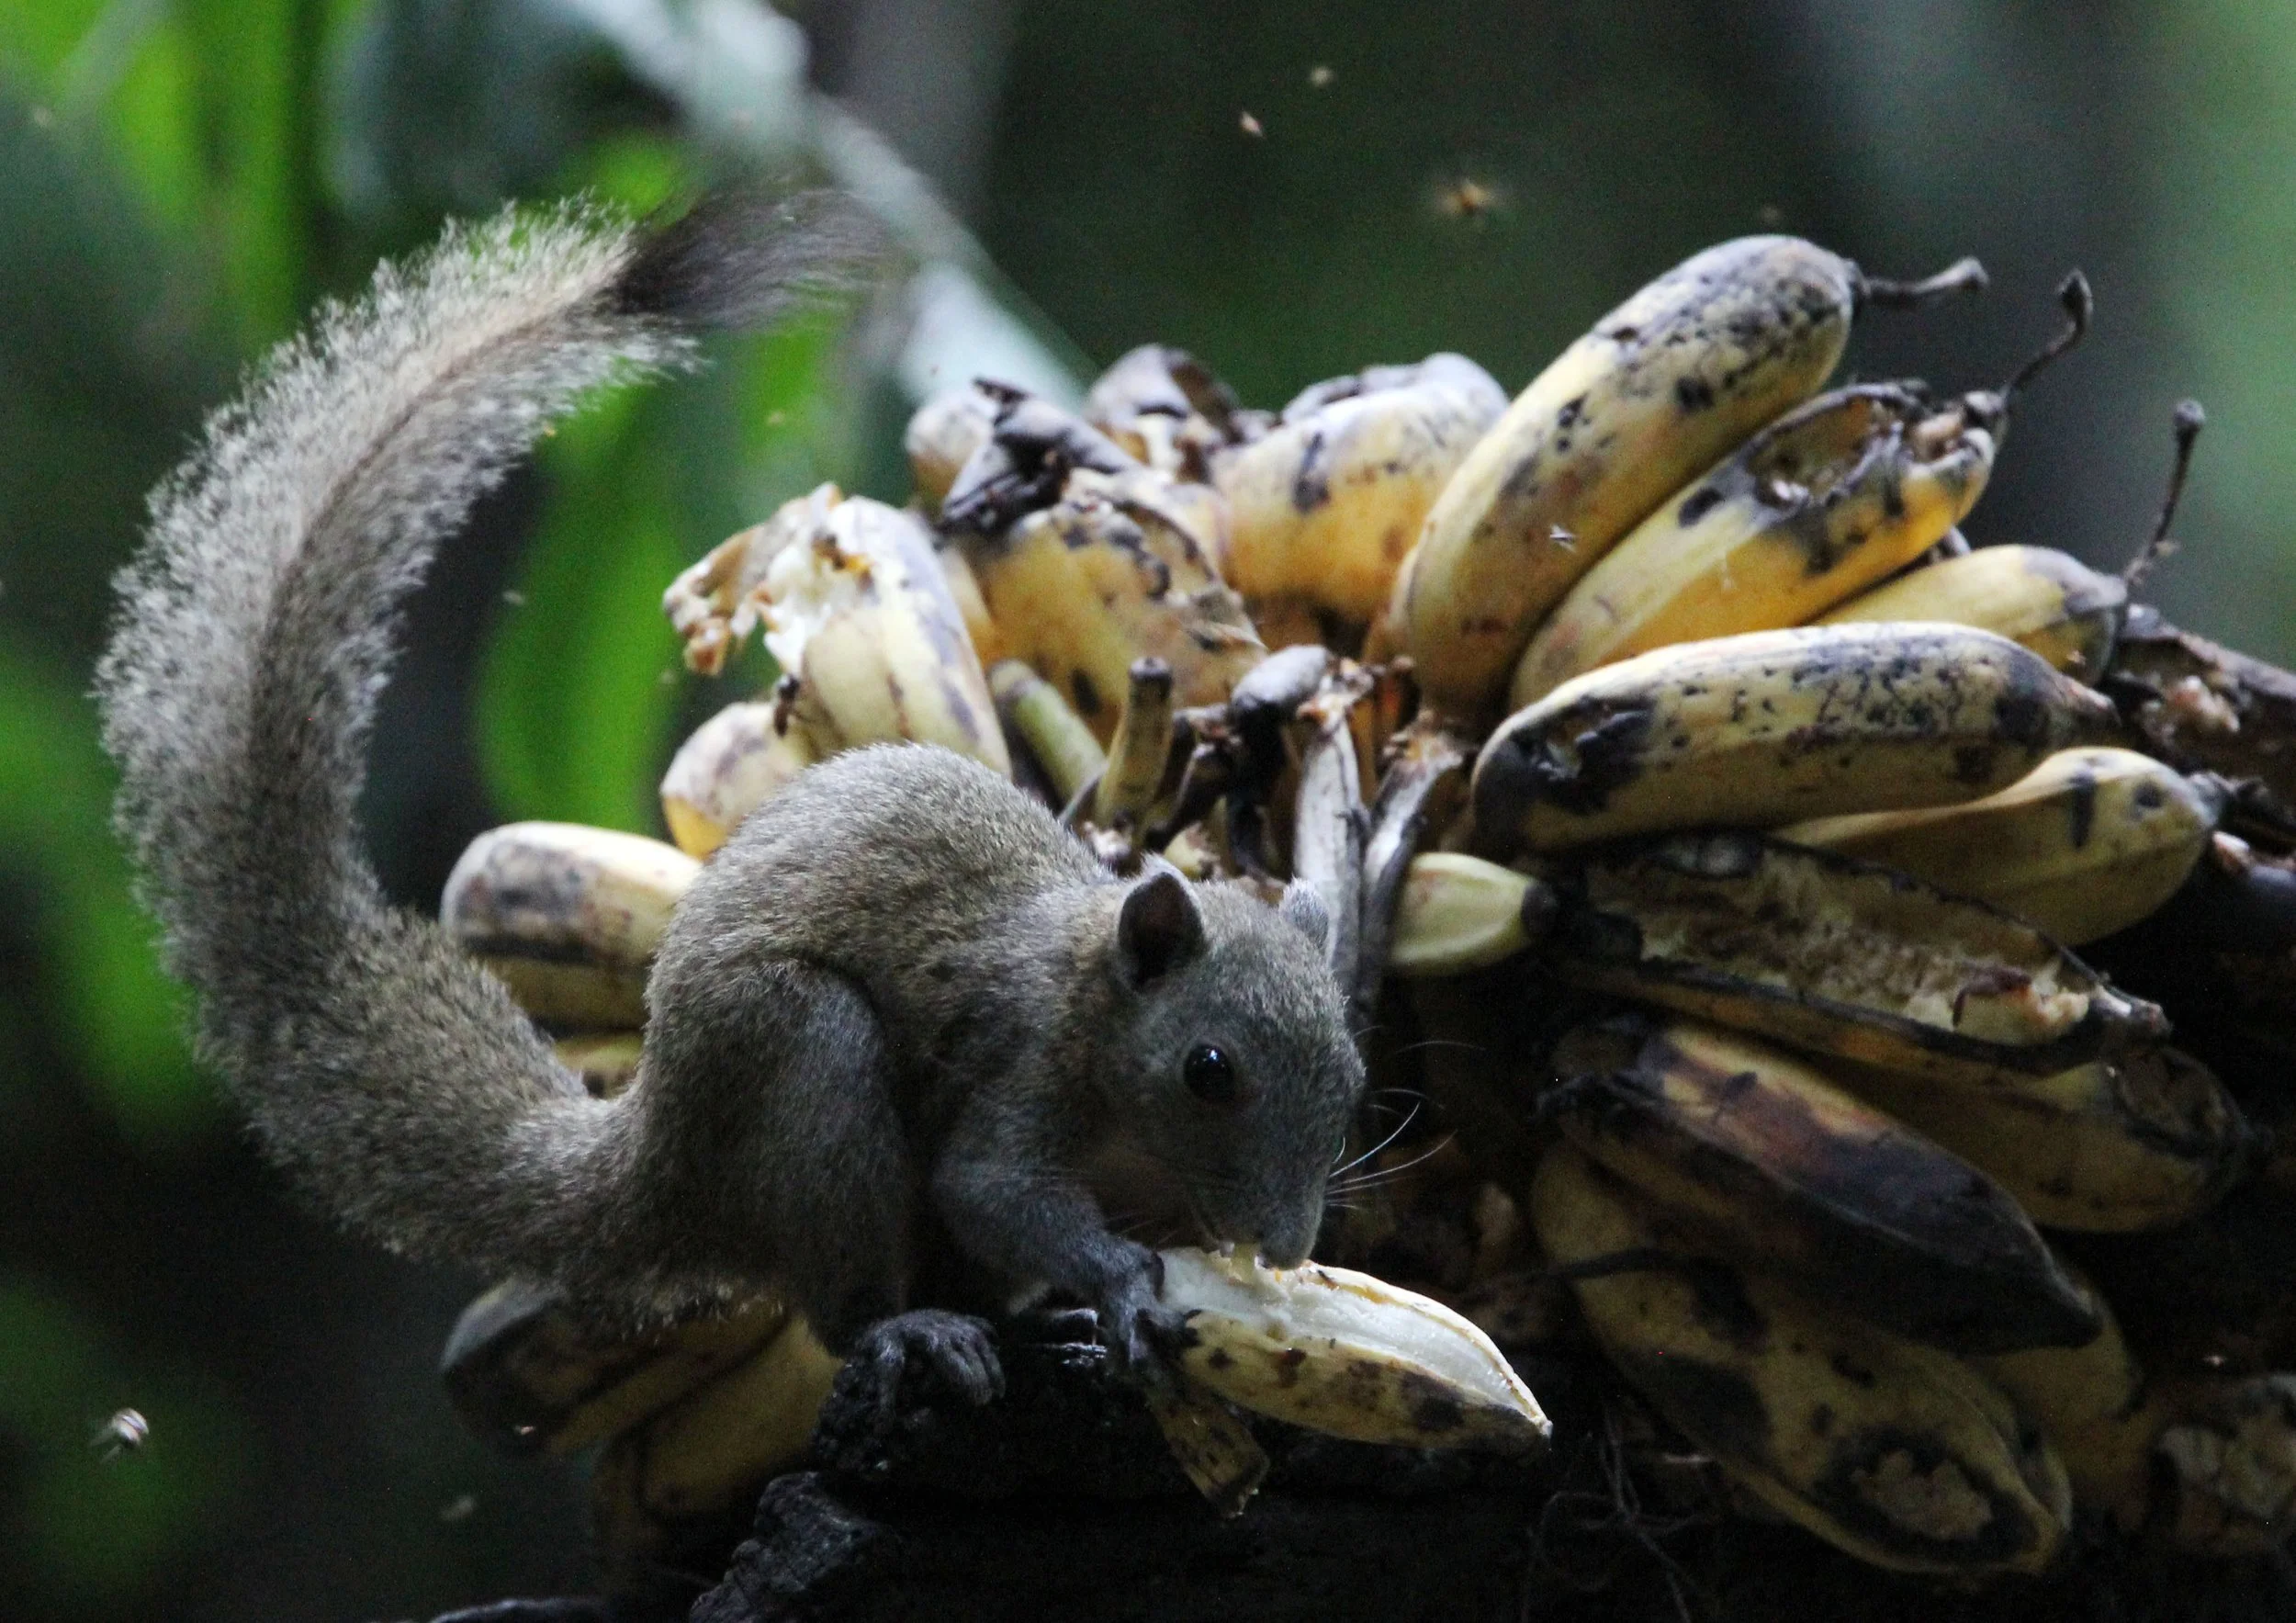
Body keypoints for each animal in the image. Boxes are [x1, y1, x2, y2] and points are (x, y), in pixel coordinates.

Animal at [93, 191, 1367, 1400]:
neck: (1099, 997)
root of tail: (657, 1160)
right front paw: (1122, 1282)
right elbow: (995, 1187)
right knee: (845, 1301)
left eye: (1354, 1077)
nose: (1282, 1245)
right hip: (800, 1066)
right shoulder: (1022, 1057)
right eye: (1209, 1071)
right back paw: (913, 1331)